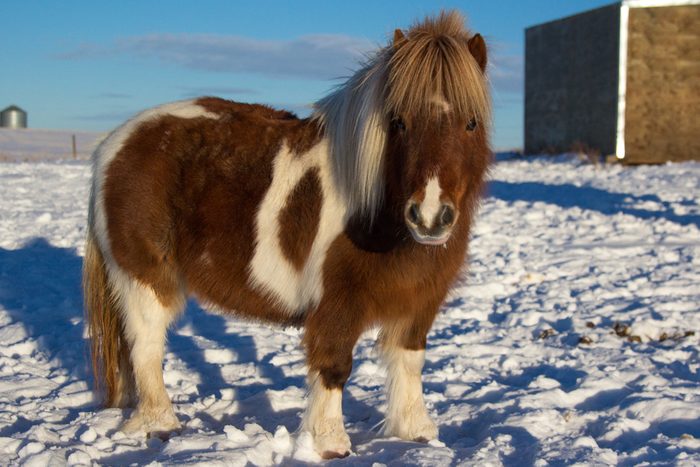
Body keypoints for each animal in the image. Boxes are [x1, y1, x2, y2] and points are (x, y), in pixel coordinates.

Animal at [83, 10, 491, 459]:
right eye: (398, 122)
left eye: (471, 123)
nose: (430, 217)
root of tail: (114, 143)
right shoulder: (336, 305)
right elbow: (334, 366)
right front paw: (329, 445)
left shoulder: (419, 302)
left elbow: (410, 362)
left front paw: (417, 434)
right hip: (145, 280)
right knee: (147, 348)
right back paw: (161, 425)